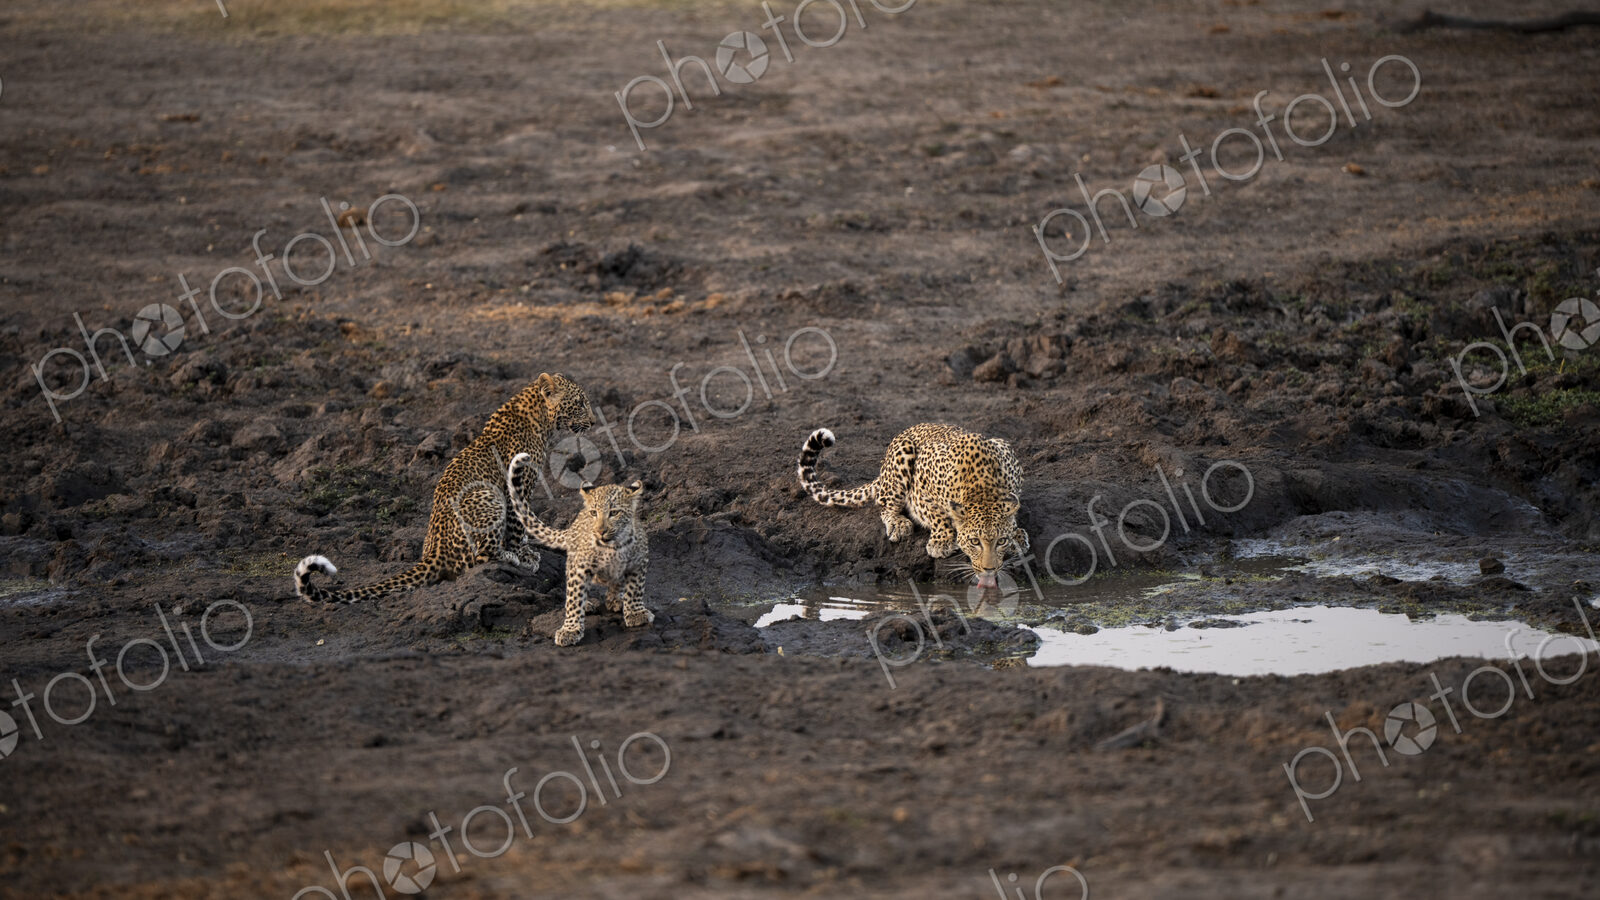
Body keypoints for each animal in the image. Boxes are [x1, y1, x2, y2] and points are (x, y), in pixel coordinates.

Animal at [293, 373, 596, 603]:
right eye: (580, 404)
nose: (593, 422)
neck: (540, 419)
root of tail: (433, 553)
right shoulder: (517, 486)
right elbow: (516, 525)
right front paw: (524, 554)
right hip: (487, 497)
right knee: (479, 557)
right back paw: (508, 556)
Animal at [506, 452, 652, 646]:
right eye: (593, 513)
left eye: (614, 513)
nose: (600, 531)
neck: (613, 547)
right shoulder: (579, 568)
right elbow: (574, 599)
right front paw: (570, 630)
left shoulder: (638, 562)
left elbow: (635, 589)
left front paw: (635, 613)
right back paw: (588, 604)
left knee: (616, 584)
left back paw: (615, 599)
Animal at [796, 423, 1029, 588]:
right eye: (974, 542)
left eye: (1001, 541)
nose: (990, 569)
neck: (982, 492)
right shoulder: (921, 486)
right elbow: (938, 515)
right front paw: (941, 542)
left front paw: (1017, 535)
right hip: (902, 455)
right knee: (885, 504)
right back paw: (898, 524)